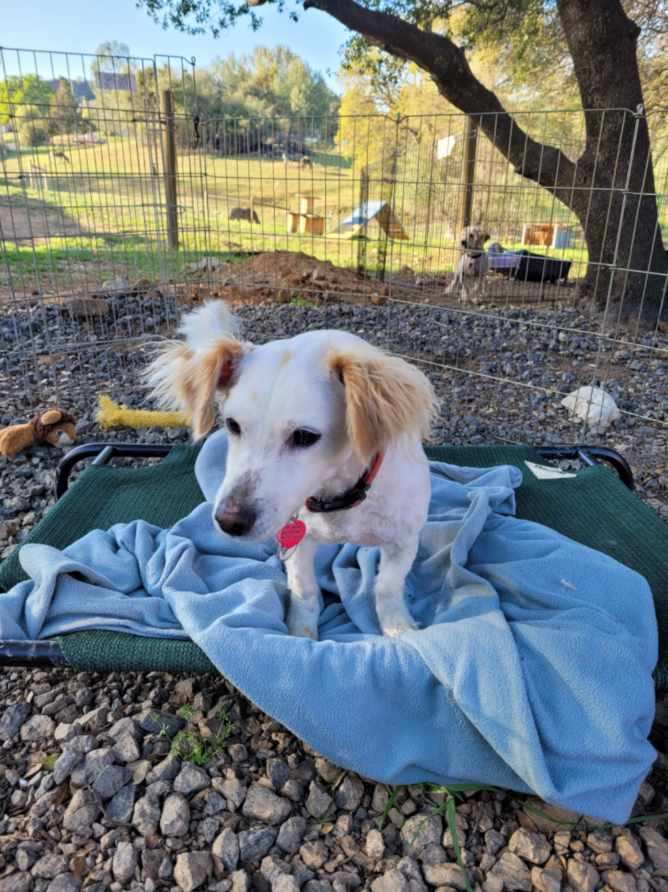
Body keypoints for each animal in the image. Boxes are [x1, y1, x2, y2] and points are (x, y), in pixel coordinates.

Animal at [147, 304, 438, 636]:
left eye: (305, 436)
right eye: (232, 424)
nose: (229, 521)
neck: (338, 498)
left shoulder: (404, 540)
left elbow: (388, 586)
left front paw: (398, 627)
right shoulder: (299, 543)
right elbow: (304, 588)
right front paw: (302, 631)